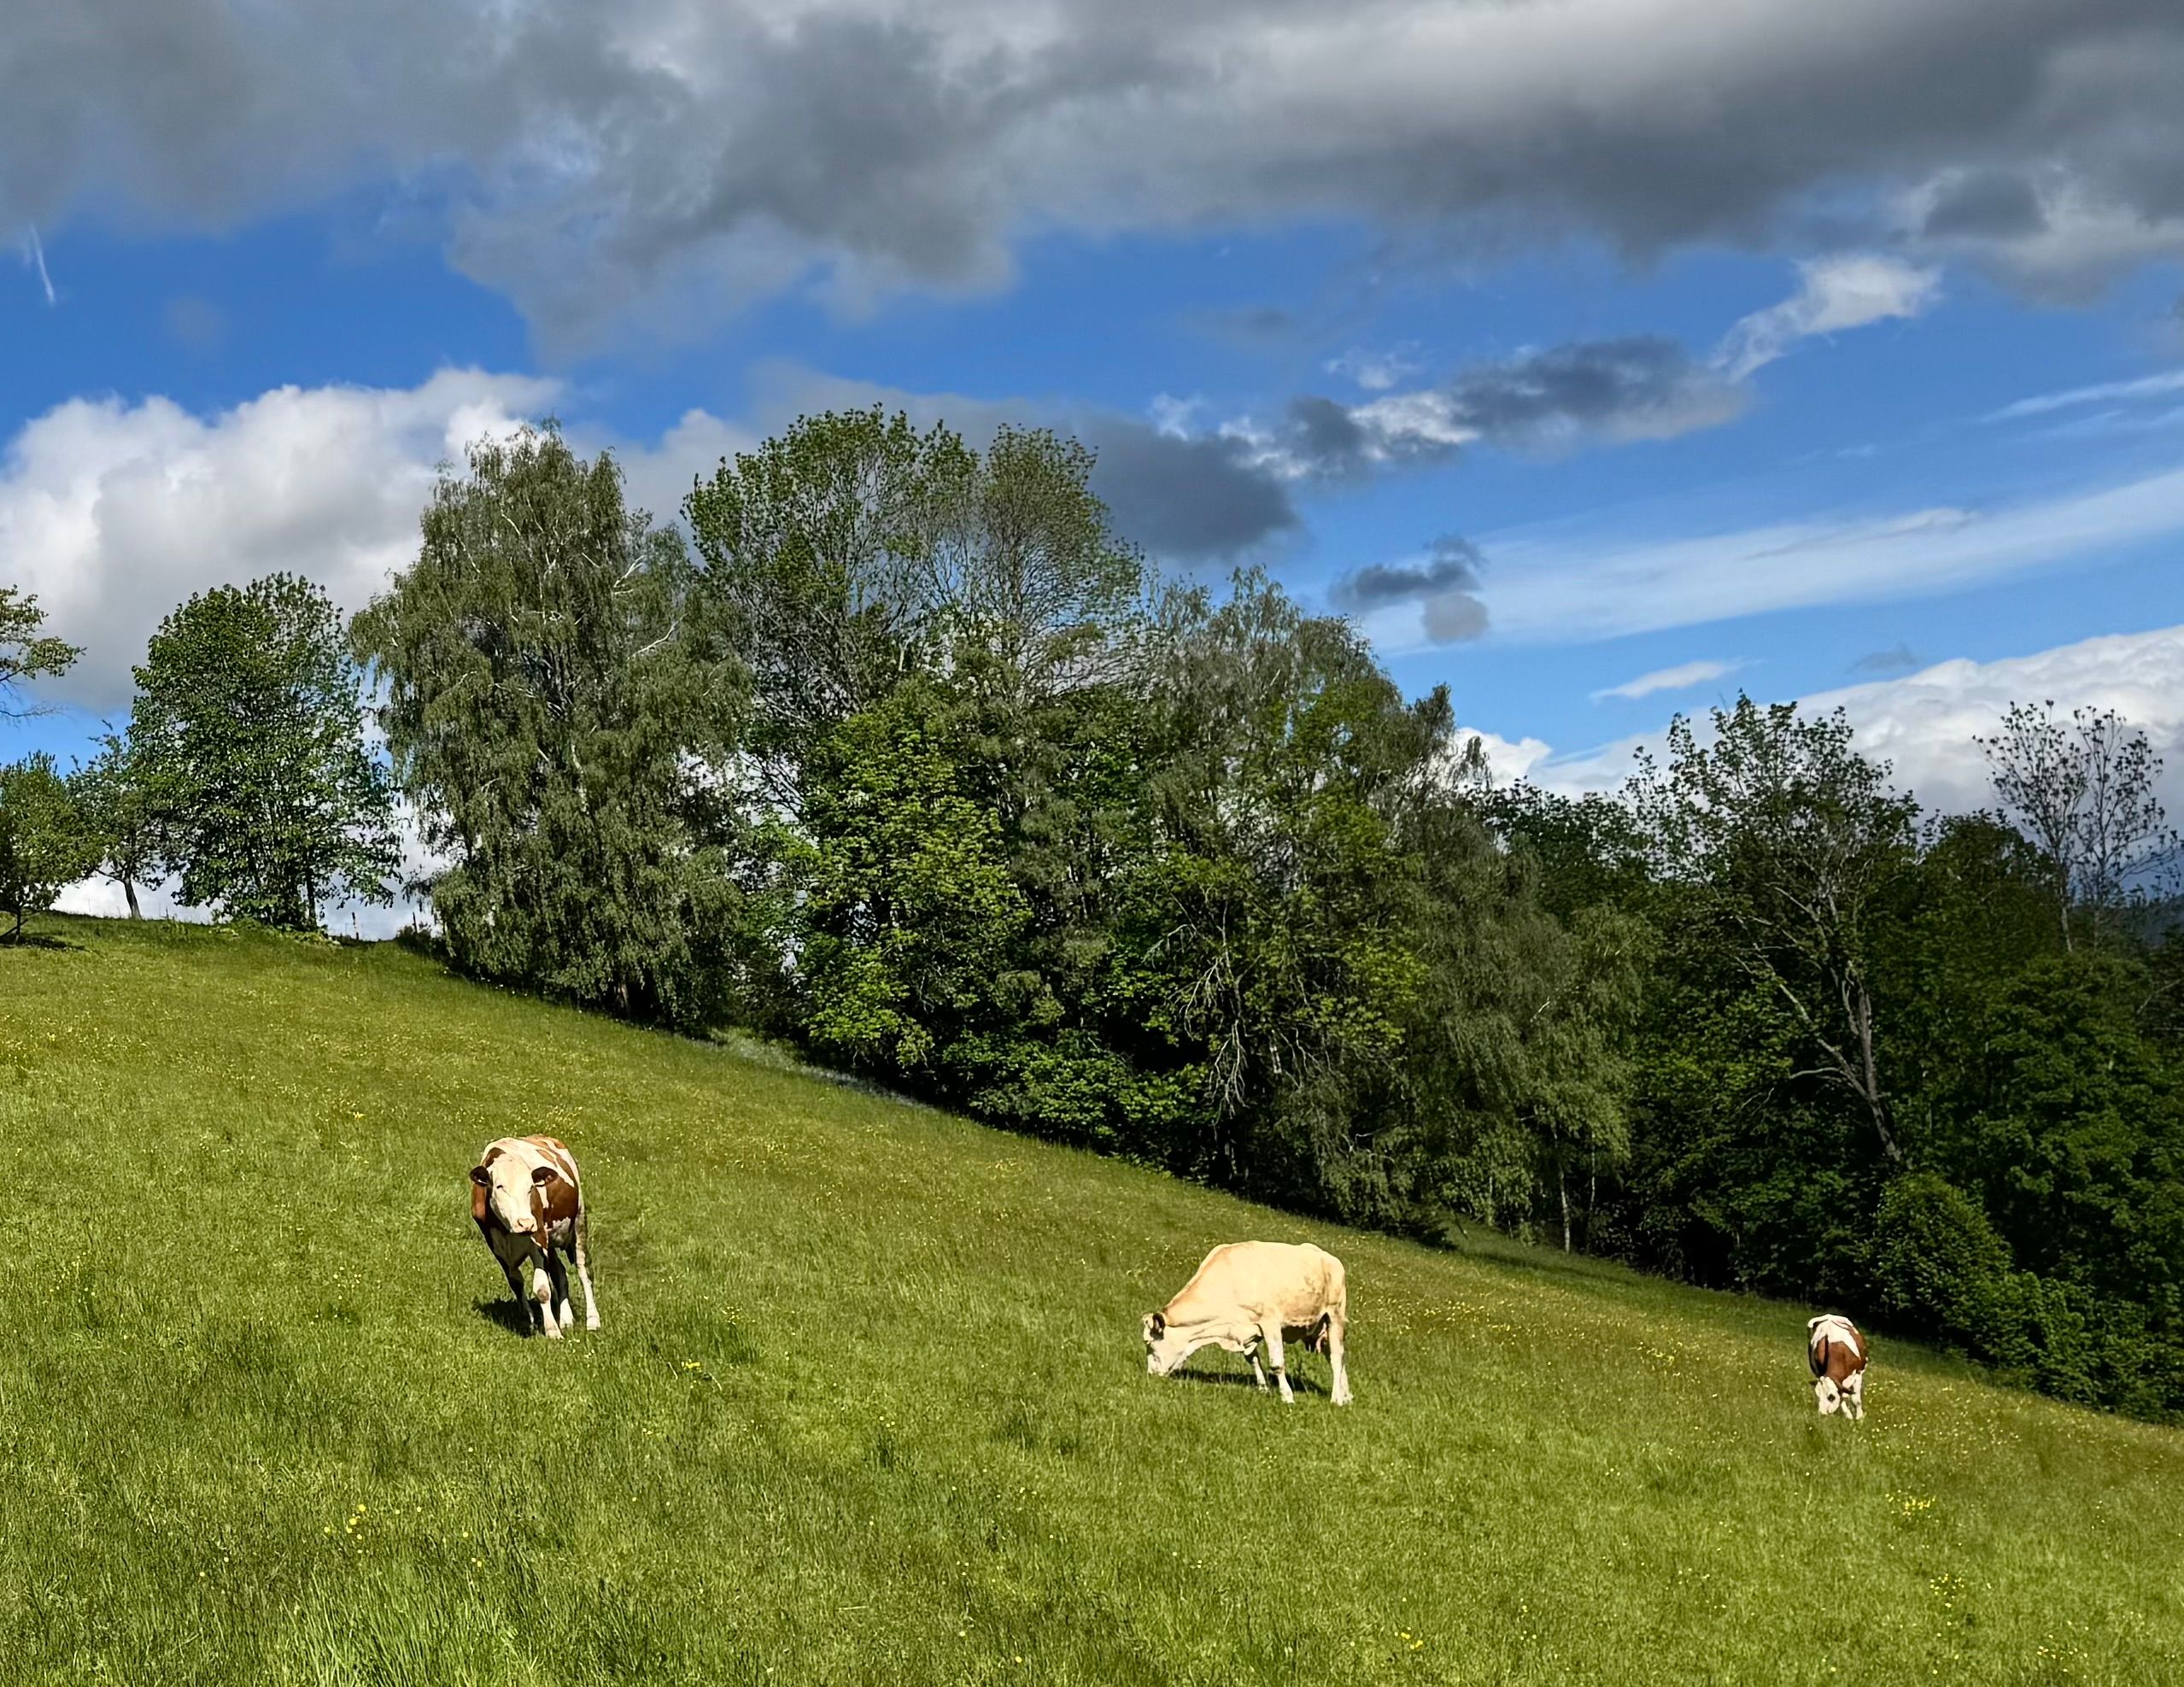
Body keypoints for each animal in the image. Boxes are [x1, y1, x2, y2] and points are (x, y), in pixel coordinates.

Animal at [470, 1135, 599, 1338]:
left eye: (531, 1187)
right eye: (499, 1186)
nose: (525, 1223)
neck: (508, 1230)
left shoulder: (538, 1238)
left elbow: (542, 1288)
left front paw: (552, 1331)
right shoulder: (495, 1245)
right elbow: (516, 1282)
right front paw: (528, 1320)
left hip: (579, 1220)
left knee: (584, 1270)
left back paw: (593, 1321)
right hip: (550, 1240)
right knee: (560, 1272)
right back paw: (566, 1320)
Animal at [1142, 1241, 1351, 1405]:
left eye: (1149, 1343)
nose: (1150, 1374)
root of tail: (1329, 1257)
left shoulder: (1270, 1323)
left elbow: (1277, 1363)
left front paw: (1287, 1397)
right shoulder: (1246, 1330)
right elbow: (1252, 1358)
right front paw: (1263, 1388)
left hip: (1334, 1315)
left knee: (1336, 1356)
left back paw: (1336, 1399)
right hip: (1318, 1329)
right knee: (1335, 1357)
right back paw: (1347, 1395)